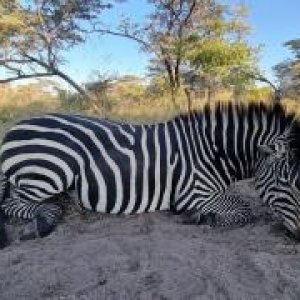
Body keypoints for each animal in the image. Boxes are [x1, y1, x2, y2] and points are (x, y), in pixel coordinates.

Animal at [0, 102, 298, 247]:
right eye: (286, 183)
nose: (297, 238)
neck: (214, 152)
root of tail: (16, 126)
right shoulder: (194, 193)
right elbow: (245, 209)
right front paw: (203, 218)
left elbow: (241, 206)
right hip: (52, 170)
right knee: (12, 202)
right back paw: (44, 222)